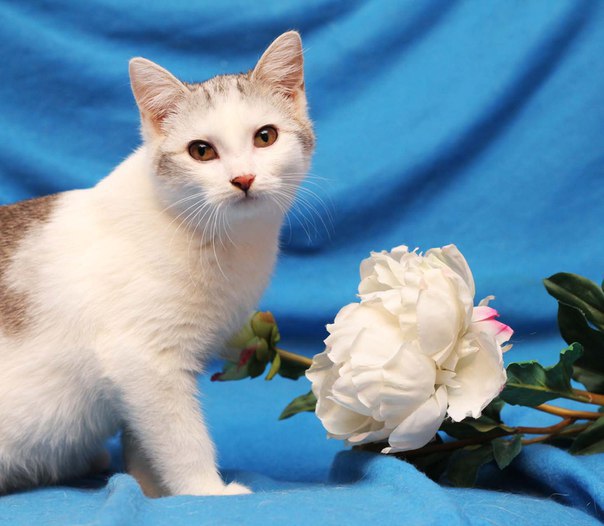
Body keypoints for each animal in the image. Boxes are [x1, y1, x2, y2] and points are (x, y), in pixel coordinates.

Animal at [0, 31, 313, 497]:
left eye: (265, 137)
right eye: (201, 151)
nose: (243, 179)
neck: (226, 243)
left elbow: (142, 439)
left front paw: (148, 488)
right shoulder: (144, 359)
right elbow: (180, 436)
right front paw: (205, 492)